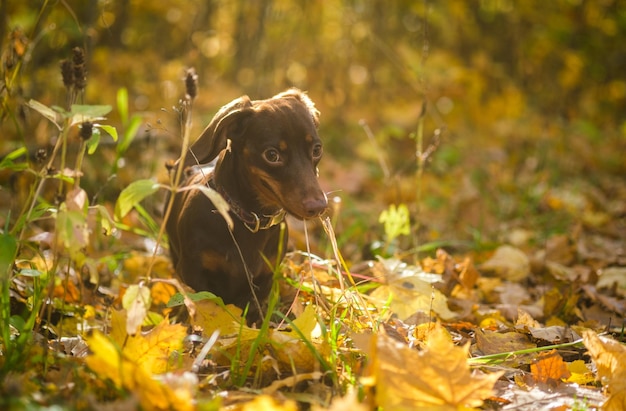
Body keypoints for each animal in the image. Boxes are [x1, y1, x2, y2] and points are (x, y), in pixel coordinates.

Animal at [166, 89, 326, 322]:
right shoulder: (192, 272)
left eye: (316, 149)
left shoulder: (262, 281)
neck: (247, 220)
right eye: (272, 155)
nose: (319, 206)